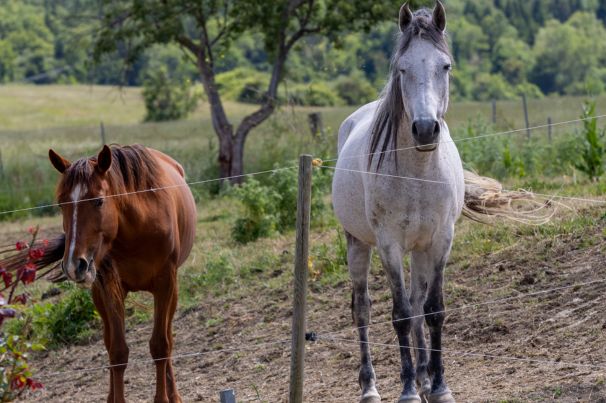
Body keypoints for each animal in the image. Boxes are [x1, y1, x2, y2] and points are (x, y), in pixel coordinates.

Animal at [47, 145, 196, 403]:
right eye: (61, 204)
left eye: (98, 201)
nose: (74, 265)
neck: (138, 227)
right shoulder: (109, 287)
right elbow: (117, 351)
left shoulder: (165, 284)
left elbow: (160, 345)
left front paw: (164, 397)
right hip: (98, 294)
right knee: (109, 343)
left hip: (172, 292)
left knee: (168, 337)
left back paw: (174, 394)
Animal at [332, 1, 460, 402]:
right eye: (402, 68)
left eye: (444, 66)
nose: (425, 129)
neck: (418, 172)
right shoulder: (389, 244)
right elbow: (400, 315)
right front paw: (407, 390)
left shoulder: (440, 240)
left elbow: (432, 311)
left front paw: (438, 386)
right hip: (358, 245)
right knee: (363, 310)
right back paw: (371, 387)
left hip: (418, 250)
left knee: (419, 307)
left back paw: (423, 380)